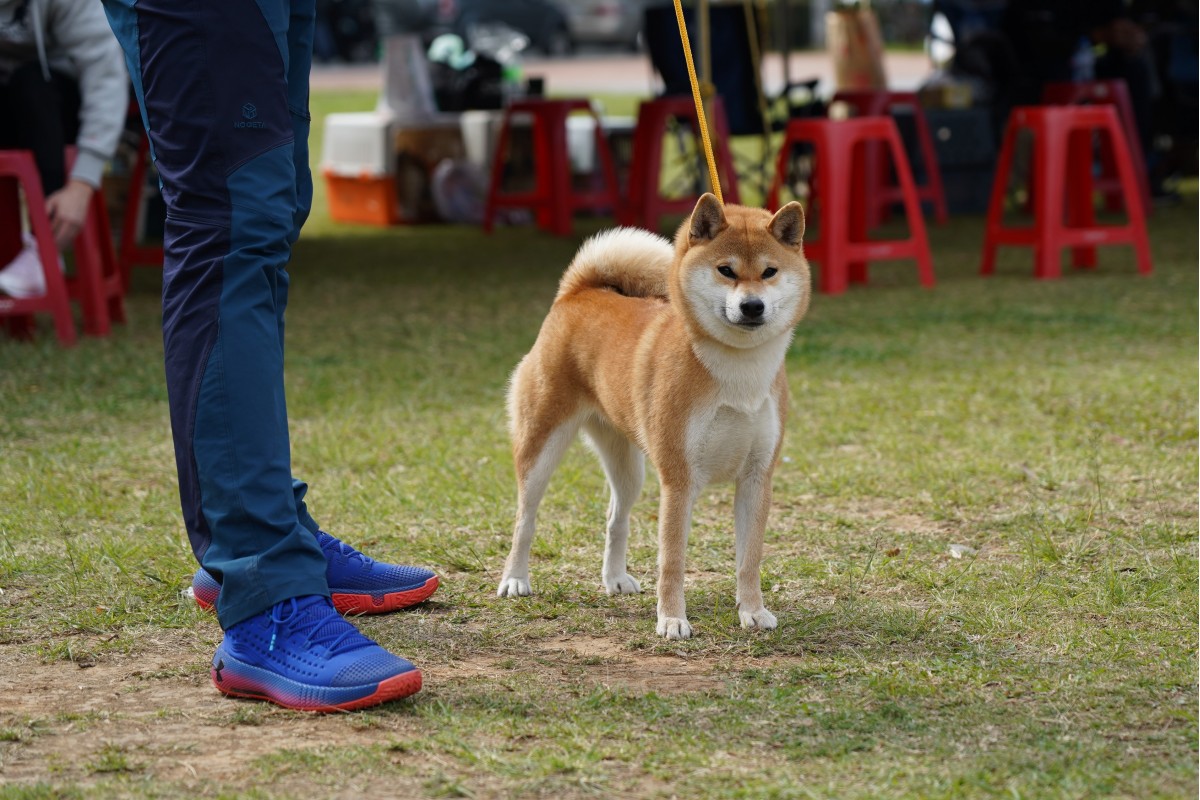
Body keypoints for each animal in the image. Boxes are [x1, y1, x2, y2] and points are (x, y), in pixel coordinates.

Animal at [496, 194, 816, 638]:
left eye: (770, 271)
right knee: (524, 519)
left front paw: (752, 611)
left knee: (615, 517)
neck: (738, 372)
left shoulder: (757, 477)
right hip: (541, 447)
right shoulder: (679, 480)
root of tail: (577, 293)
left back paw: (614, 578)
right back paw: (515, 579)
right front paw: (672, 620)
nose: (752, 306)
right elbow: (673, 561)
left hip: (629, 466)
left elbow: (749, 559)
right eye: (726, 270)